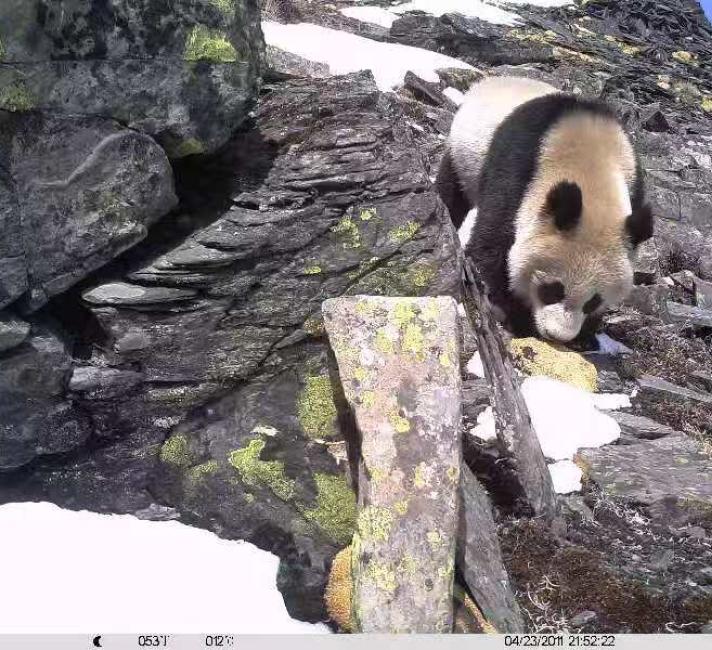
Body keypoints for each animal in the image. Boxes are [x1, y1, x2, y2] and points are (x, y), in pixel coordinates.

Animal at [440, 75, 656, 340]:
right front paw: (511, 313)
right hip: (461, 155)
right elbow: (492, 243)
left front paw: (586, 336)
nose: (557, 335)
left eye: (593, 301)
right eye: (553, 289)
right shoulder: (518, 173)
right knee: (452, 194)